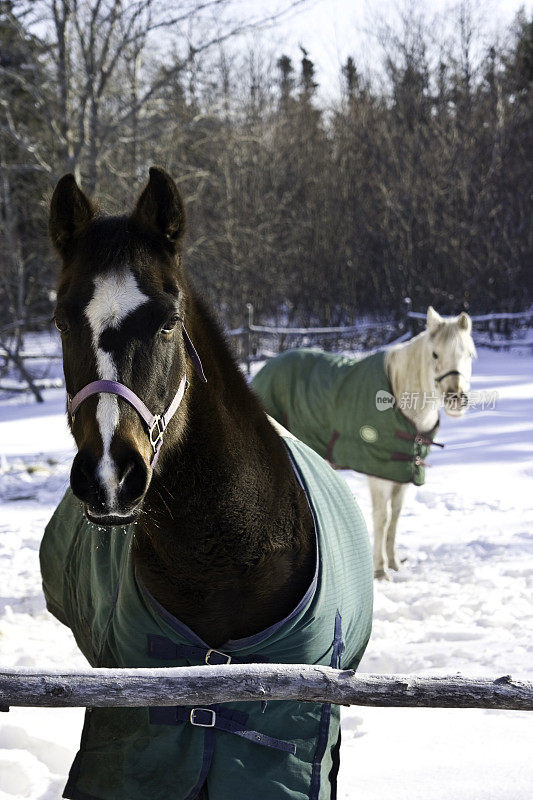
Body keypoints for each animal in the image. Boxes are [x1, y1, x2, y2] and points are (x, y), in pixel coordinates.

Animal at [372, 304, 476, 580]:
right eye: (435, 354)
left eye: (469, 355)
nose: (456, 399)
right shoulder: (378, 476)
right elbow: (382, 518)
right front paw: (380, 572)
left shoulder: (401, 474)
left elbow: (395, 517)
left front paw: (394, 564)